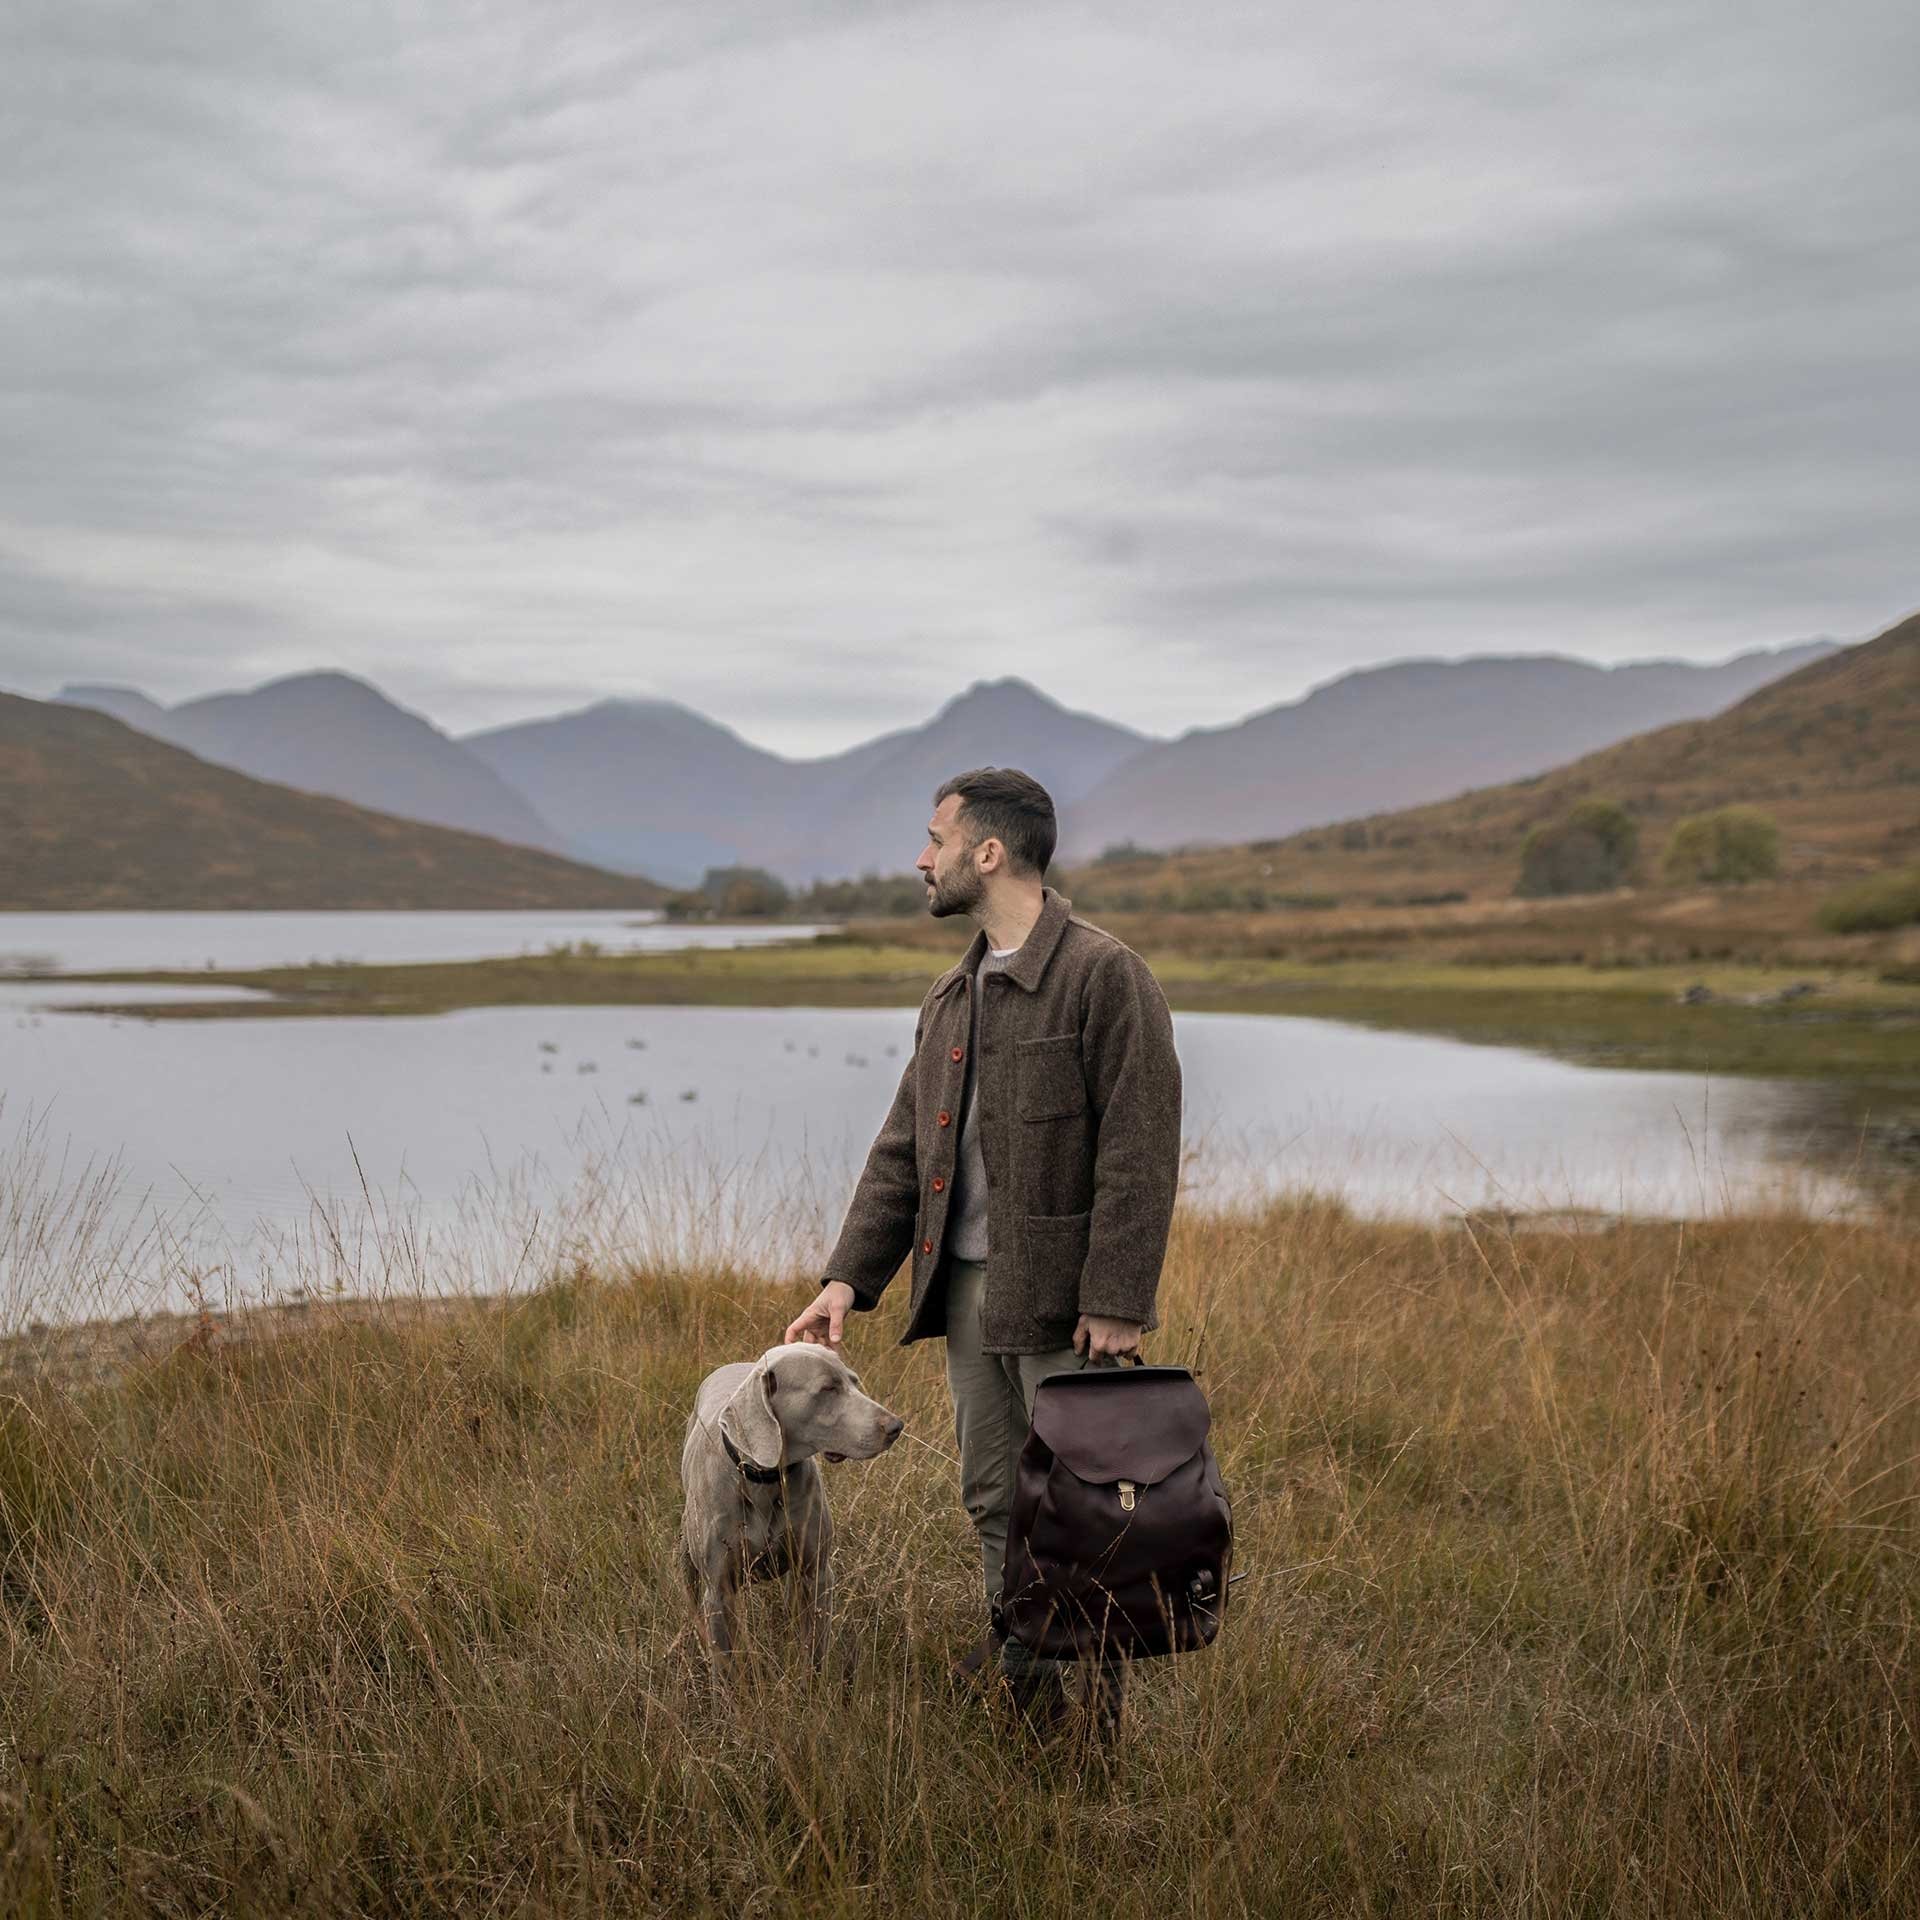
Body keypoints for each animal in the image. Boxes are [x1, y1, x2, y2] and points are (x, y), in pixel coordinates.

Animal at [679, 1344, 902, 1658]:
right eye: (827, 1388)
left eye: (854, 1382)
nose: (896, 1426)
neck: (765, 1478)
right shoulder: (719, 1592)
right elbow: (724, 1662)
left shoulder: (815, 1574)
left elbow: (815, 1651)